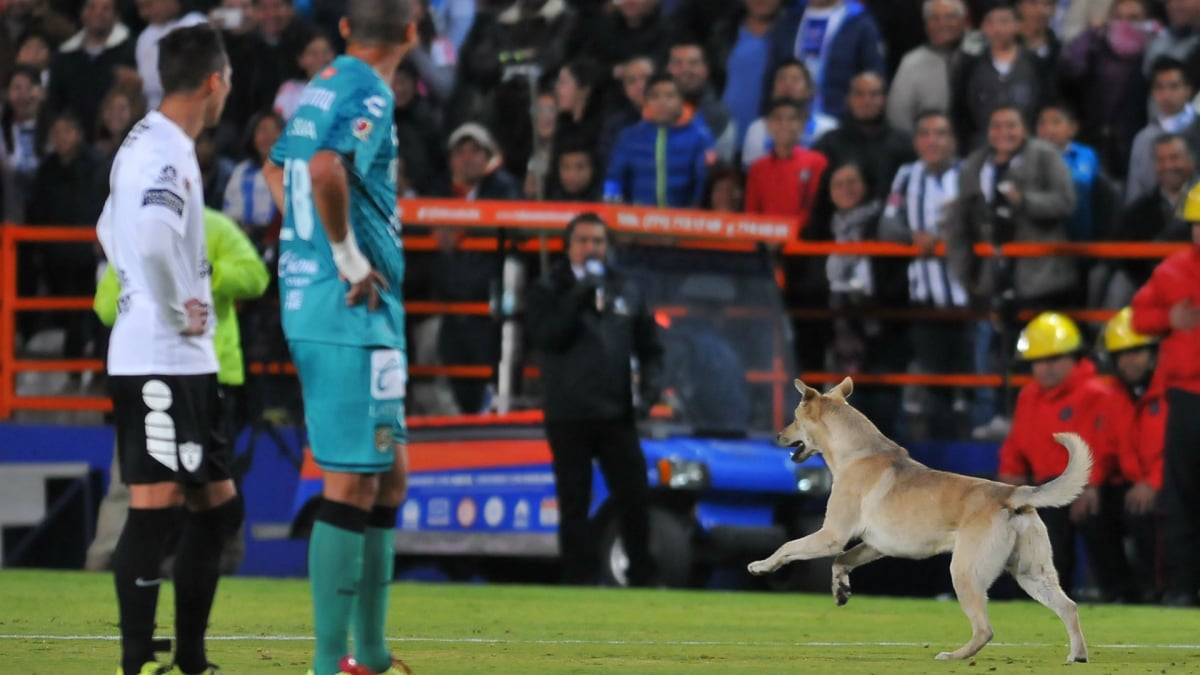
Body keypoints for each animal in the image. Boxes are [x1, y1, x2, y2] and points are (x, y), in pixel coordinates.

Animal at [753, 374, 1094, 658]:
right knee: (1069, 607)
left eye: (794, 419)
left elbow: (788, 547)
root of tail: (1011, 494)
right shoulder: (873, 545)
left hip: (965, 573)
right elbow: (841, 561)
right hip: (1032, 574)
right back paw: (1077, 656)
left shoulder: (831, 536)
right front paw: (841, 591)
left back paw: (954, 656)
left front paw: (762, 566)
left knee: (985, 630)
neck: (859, 452)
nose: (777, 436)